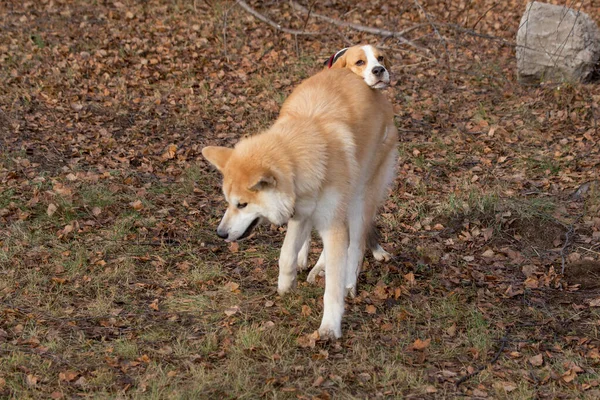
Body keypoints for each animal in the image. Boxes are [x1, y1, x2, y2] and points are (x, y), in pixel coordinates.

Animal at [203, 69, 398, 338]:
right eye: (228, 203)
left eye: (242, 205)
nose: (220, 234)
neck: (301, 158)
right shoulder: (301, 214)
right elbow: (286, 254)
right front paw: (286, 286)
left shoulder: (332, 224)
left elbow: (333, 287)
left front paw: (330, 326)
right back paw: (314, 265)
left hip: (359, 199)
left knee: (355, 246)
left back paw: (348, 281)